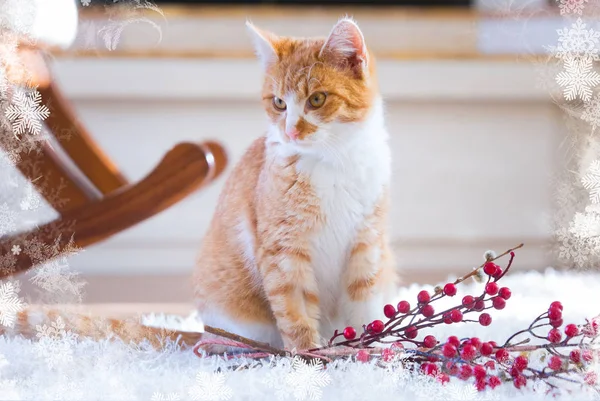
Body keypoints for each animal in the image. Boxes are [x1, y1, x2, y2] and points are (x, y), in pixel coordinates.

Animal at [193, 18, 398, 350]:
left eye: (316, 99)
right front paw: (308, 355)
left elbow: (365, 304)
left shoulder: (366, 243)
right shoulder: (284, 251)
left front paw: (367, 350)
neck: (332, 162)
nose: (290, 131)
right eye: (279, 103)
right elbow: (295, 310)